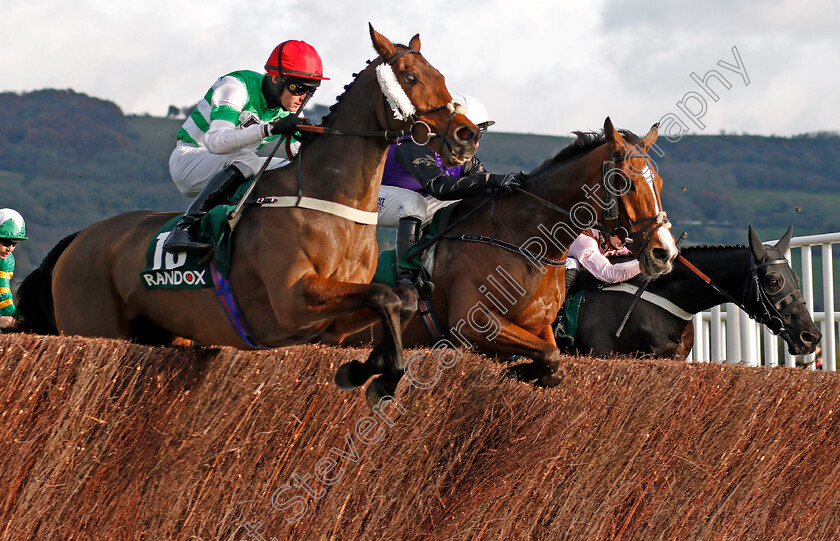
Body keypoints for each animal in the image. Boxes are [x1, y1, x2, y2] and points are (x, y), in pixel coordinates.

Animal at [14, 25, 480, 404]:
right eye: (410, 77)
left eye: (441, 77)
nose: (466, 135)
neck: (332, 202)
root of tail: (78, 238)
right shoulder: (292, 303)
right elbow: (386, 296)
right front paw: (377, 377)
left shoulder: (333, 325)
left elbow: (399, 299)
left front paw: (369, 370)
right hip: (94, 326)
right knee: (237, 161)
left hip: (165, 332)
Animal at [332, 120, 680, 386]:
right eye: (624, 181)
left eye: (660, 182)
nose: (664, 252)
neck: (524, 241)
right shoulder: (472, 324)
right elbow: (550, 356)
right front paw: (522, 370)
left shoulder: (540, 326)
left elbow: (553, 361)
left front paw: (525, 371)